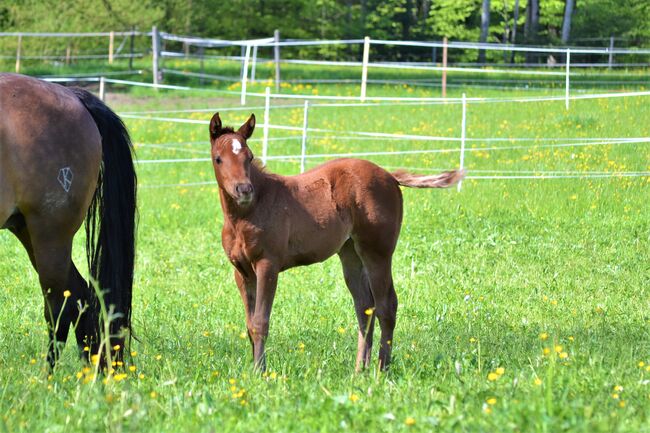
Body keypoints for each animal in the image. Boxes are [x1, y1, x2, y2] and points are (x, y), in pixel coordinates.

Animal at [0, 75, 135, 368]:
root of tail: (73, 96)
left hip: (50, 235)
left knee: (60, 305)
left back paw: (48, 376)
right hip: (28, 230)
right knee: (79, 295)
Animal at [208, 113, 460, 370]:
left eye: (249, 157)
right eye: (218, 159)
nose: (244, 190)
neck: (250, 211)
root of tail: (390, 176)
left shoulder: (267, 264)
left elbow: (260, 322)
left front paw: (261, 372)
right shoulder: (242, 272)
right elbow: (249, 325)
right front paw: (253, 369)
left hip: (377, 252)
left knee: (386, 305)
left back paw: (382, 369)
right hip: (351, 254)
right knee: (365, 307)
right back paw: (360, 369)